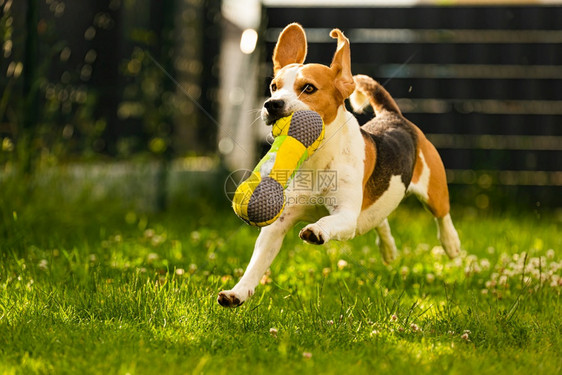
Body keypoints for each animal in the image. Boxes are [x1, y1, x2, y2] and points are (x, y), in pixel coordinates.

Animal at [217, 22, 458, 308]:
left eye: (308, 88)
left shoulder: (345, 215)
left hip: (434, 189)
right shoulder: (278, 224)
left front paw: (316, 231)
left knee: (442, 215)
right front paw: (238, 292)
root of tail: (392, 116)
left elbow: (327, 221)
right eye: (274, 87)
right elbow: (256, 264)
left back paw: (451, 243)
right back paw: (388, 249)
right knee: (379, 219)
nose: (271, 104)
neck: (316, 159)